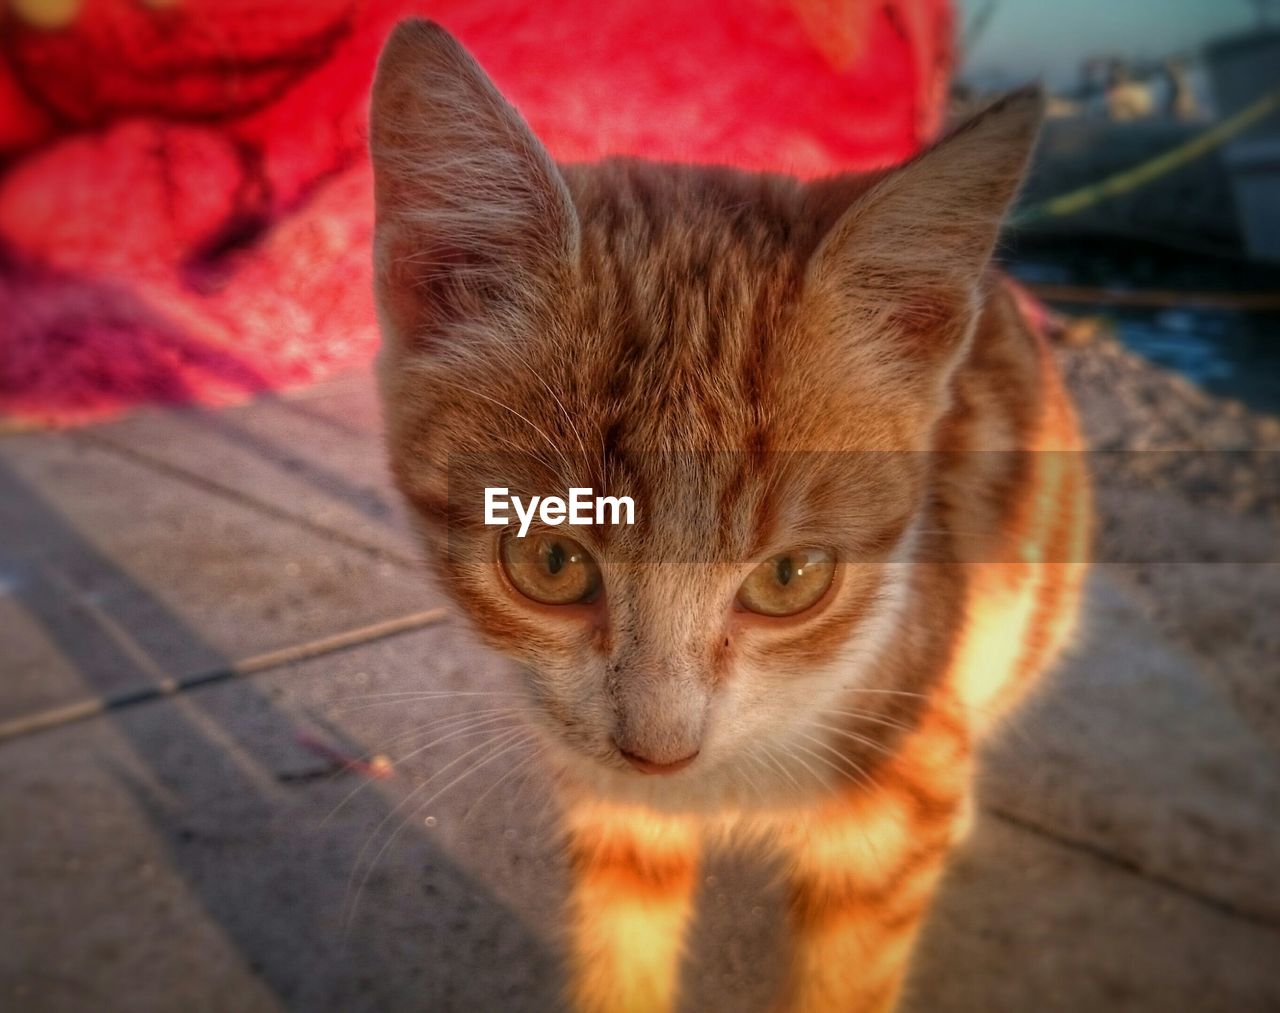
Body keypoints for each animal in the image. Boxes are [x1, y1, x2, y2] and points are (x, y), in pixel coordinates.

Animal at [371, 17, 1090, 1013]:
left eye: (790, 577)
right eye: (551, 561)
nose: (660, 752)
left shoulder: (889, 806)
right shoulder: (619, 814)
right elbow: (622, 947)